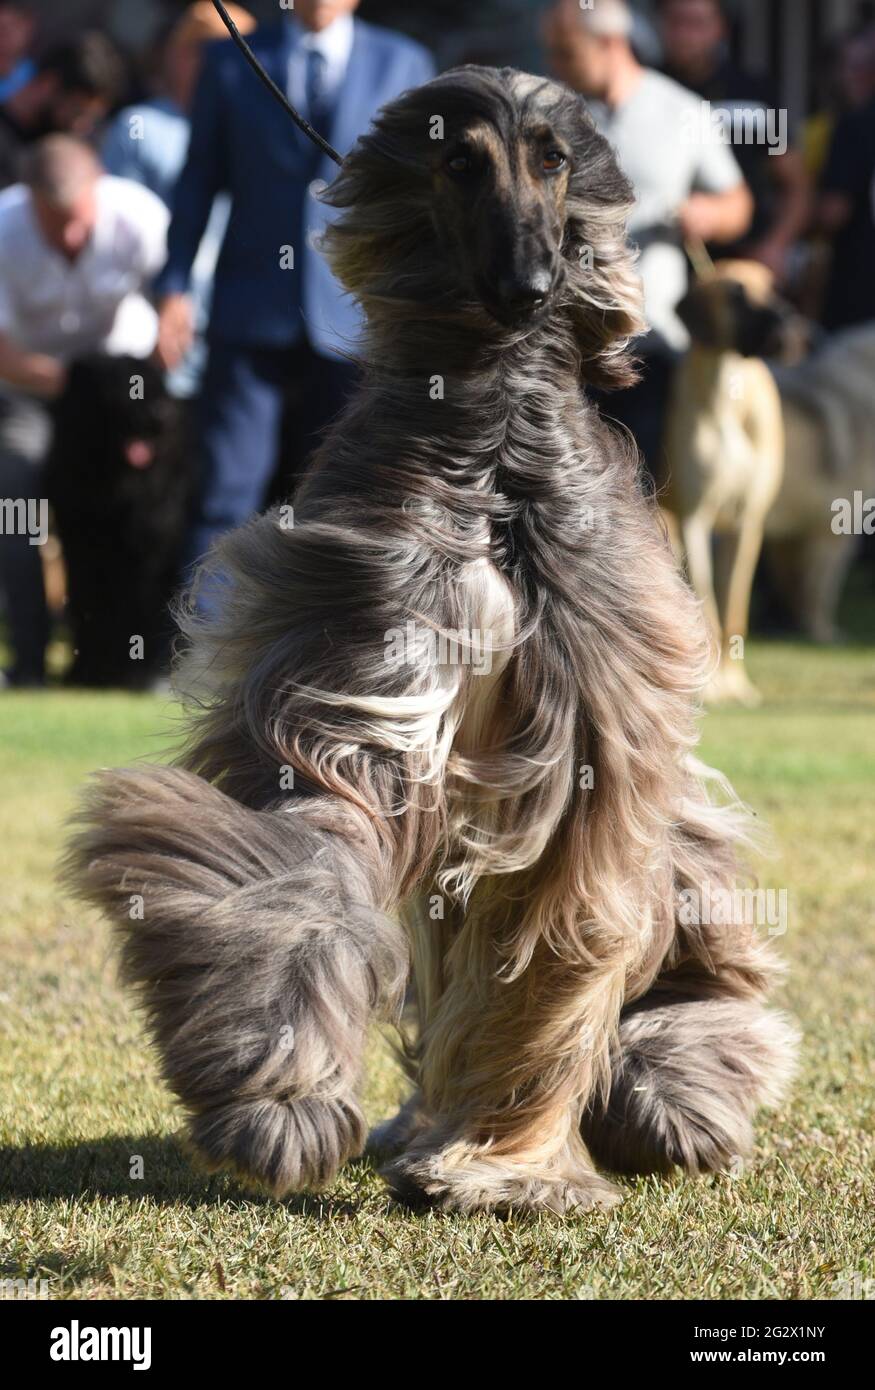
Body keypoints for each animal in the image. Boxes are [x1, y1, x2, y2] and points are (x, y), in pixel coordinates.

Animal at [45, 353, 193, 689]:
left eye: (159, 383)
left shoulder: (148, 558)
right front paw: (85, 672)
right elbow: (88, 608)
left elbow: (135, 611)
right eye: (117, 384)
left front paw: (133, 673)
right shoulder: (81, 551)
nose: (161, 415)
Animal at [662, 261, 790, 706]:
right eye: (736, 294)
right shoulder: (694, 521)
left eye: (774, 288)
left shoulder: (746, 523)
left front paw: (738, 685)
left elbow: (734, 612)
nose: (785, 319)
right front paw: (716, 688)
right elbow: (709, 612)